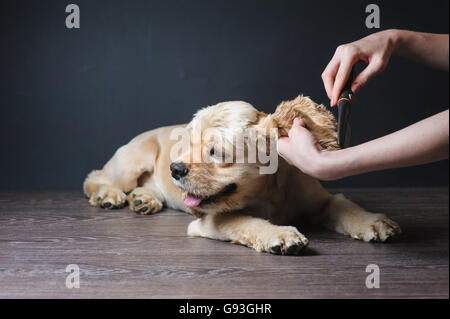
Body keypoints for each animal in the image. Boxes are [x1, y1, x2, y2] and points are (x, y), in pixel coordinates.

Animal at [84, 96, 400, 256]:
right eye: (187, 144)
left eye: (216, 152)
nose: (175, 168)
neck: (267, 192)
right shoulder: (210, 220)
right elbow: (245, 222)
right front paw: (280, 235)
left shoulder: (322, 201)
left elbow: (344, 205)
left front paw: (373, 222)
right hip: (134, 158)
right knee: (96, 176)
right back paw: (108, 195)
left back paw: (143, 199)